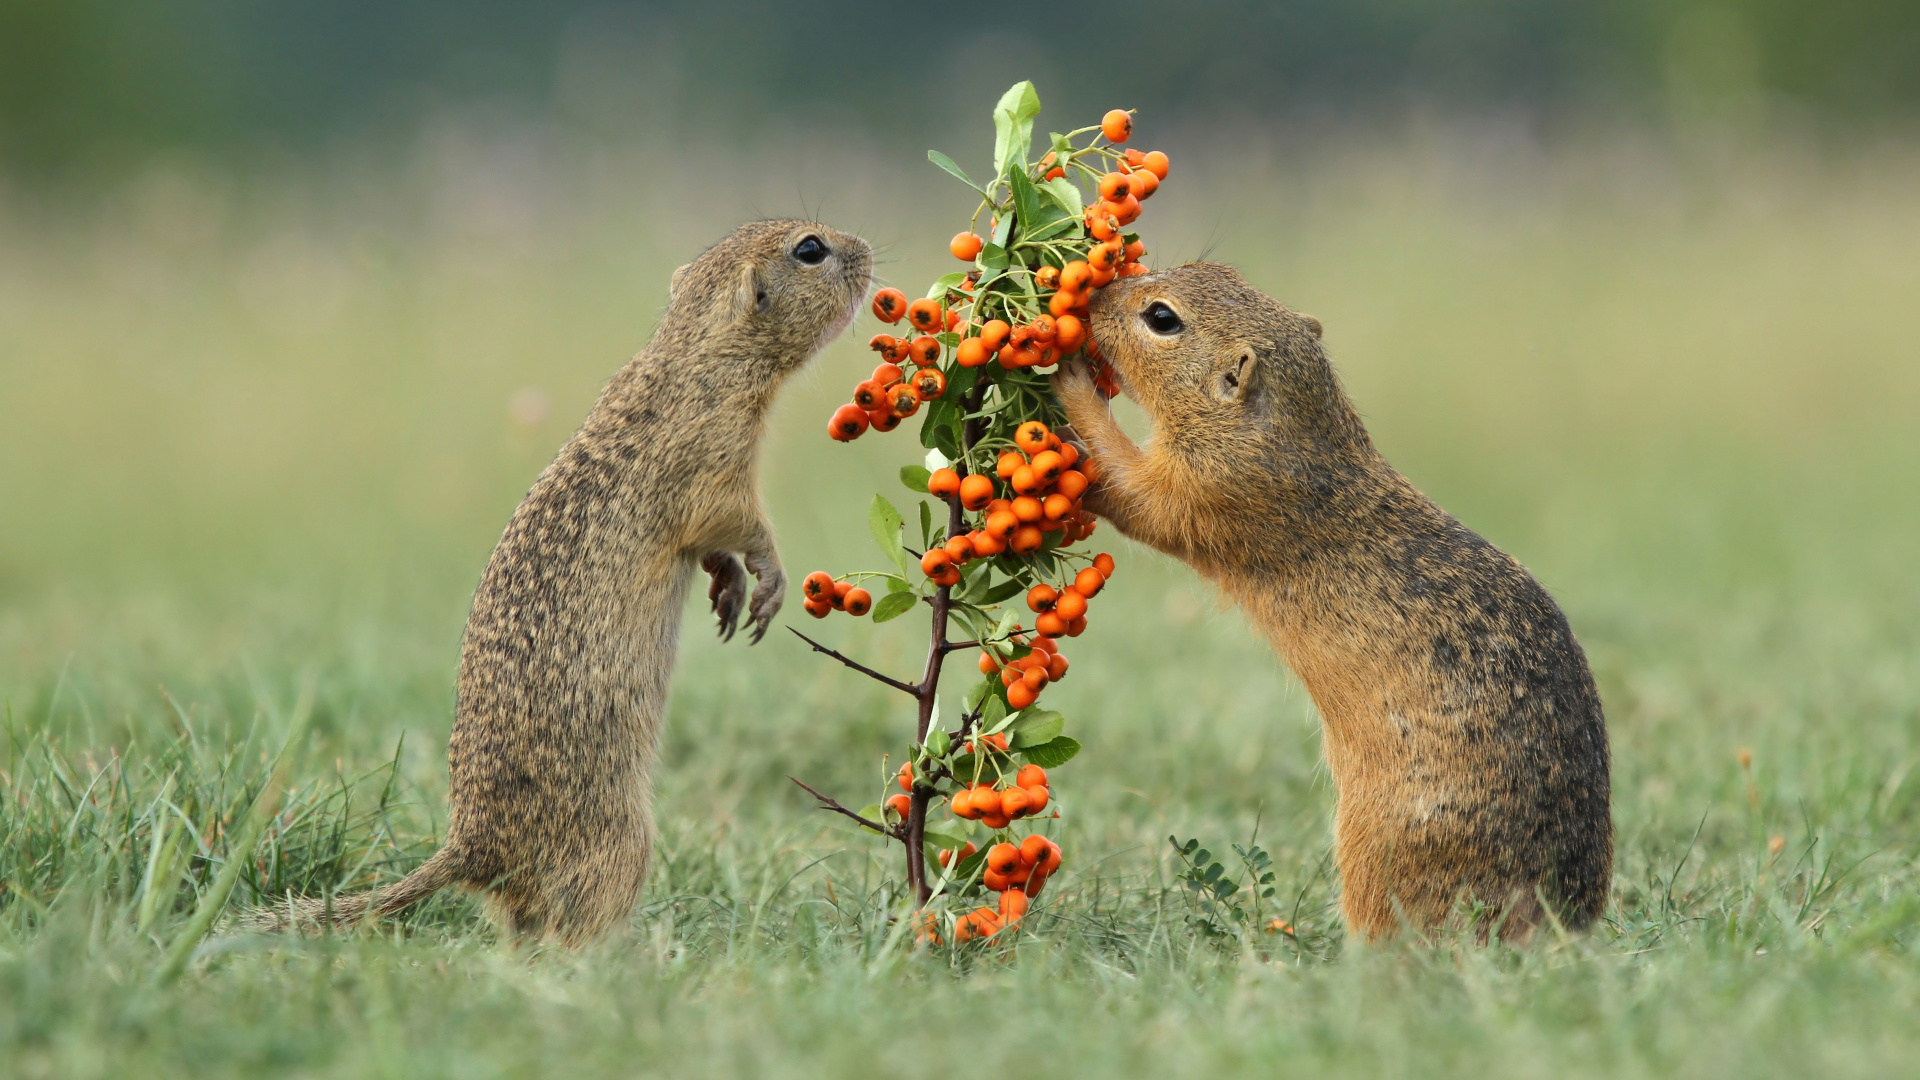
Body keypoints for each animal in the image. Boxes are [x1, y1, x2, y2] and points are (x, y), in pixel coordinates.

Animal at [245, 220, 872, 945]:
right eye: (810, 250)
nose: (867, 251)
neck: (697, 354)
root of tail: (472, 851)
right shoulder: (717, 462)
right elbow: (739, 525)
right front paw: (767, 585)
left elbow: (713, 550)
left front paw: (729, 591)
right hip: (623, 845)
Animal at [1053, 263, 1611, 941]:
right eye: (1218, 270)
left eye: (1162, 318)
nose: (1093, 297)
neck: (1298, 433)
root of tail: (1558, 923)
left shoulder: (1207, 488)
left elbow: (1126, 483)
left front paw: (1067, 385)